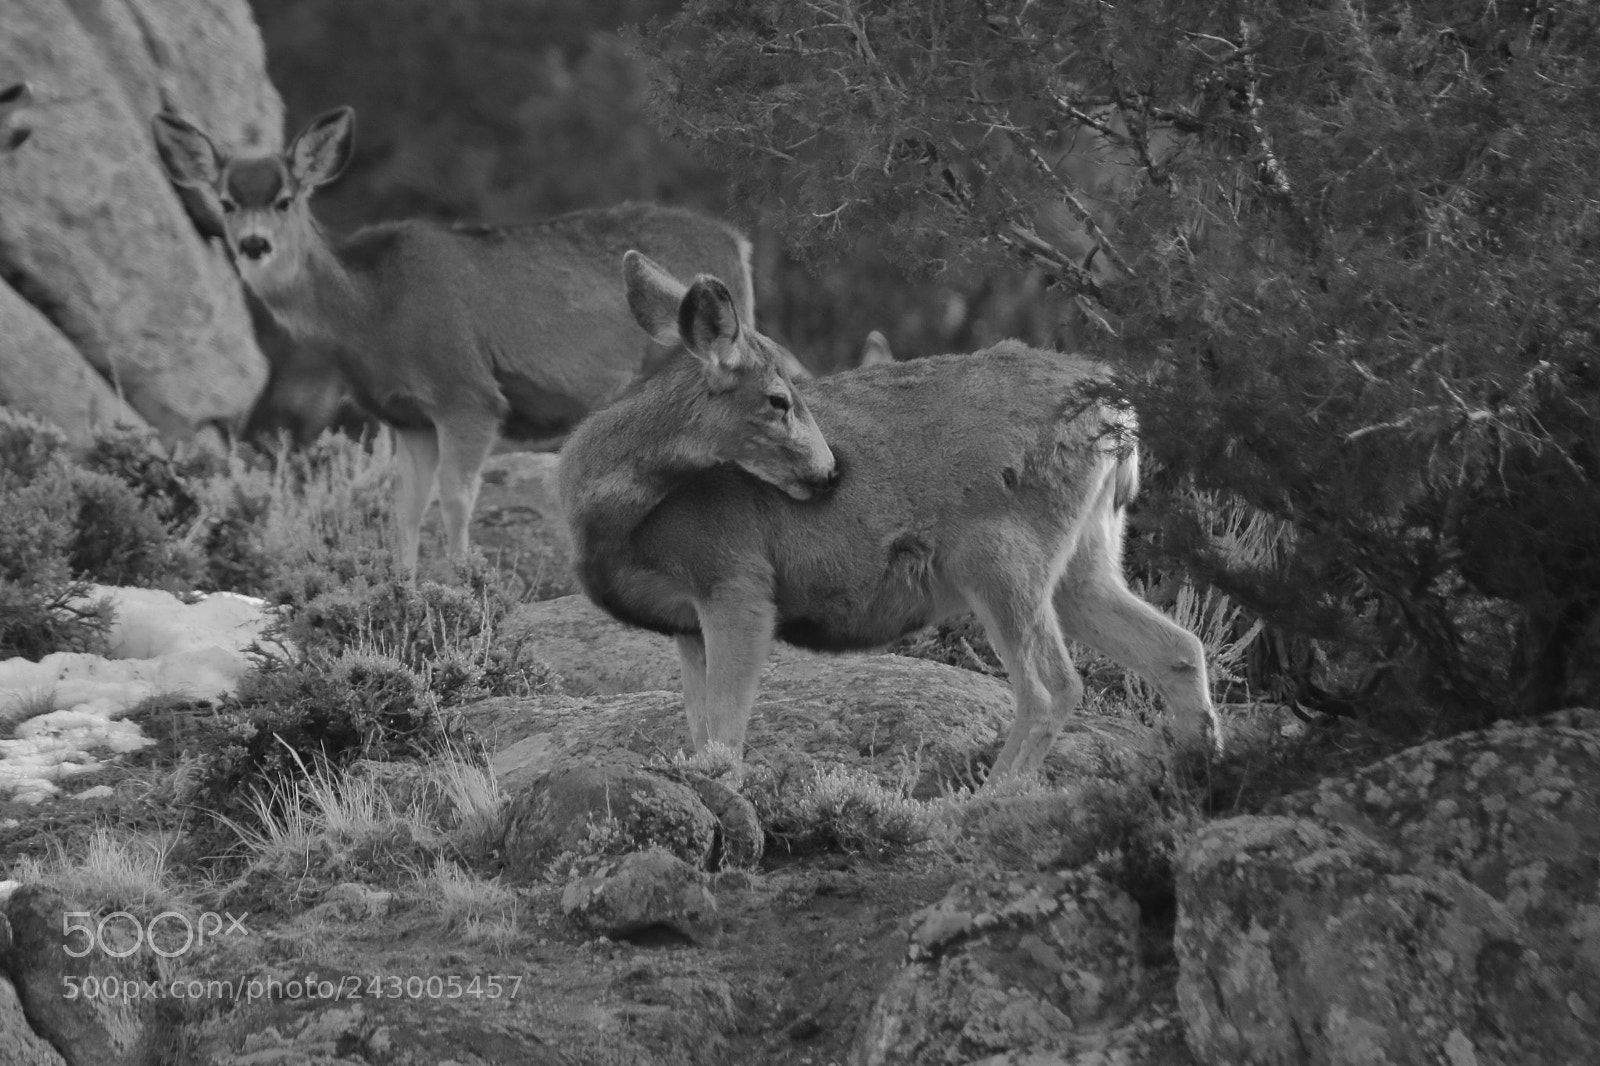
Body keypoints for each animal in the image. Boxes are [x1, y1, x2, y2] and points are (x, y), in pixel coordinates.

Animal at [149, 106, 801, 574]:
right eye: (227, 201)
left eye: (284, 200)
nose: (253, 245)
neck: (370, 310)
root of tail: (738, 243)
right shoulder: (404, 416)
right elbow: (406, 507)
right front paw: (403, 584)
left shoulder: (465, 393)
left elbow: (457, 497)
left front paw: (465, 583)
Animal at [557, 252, 1222, 783]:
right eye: (778, 399)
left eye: (795, 391)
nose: (830, 473)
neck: (619, 520)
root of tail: (1117, 407)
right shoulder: (685, 624)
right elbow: (699, 733)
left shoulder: (736, 581)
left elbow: (724, 735)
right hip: (1085, 561)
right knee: (1178, 646)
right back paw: (1202, 770)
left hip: (1000, 554)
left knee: (1052, 686)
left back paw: (980, 802)